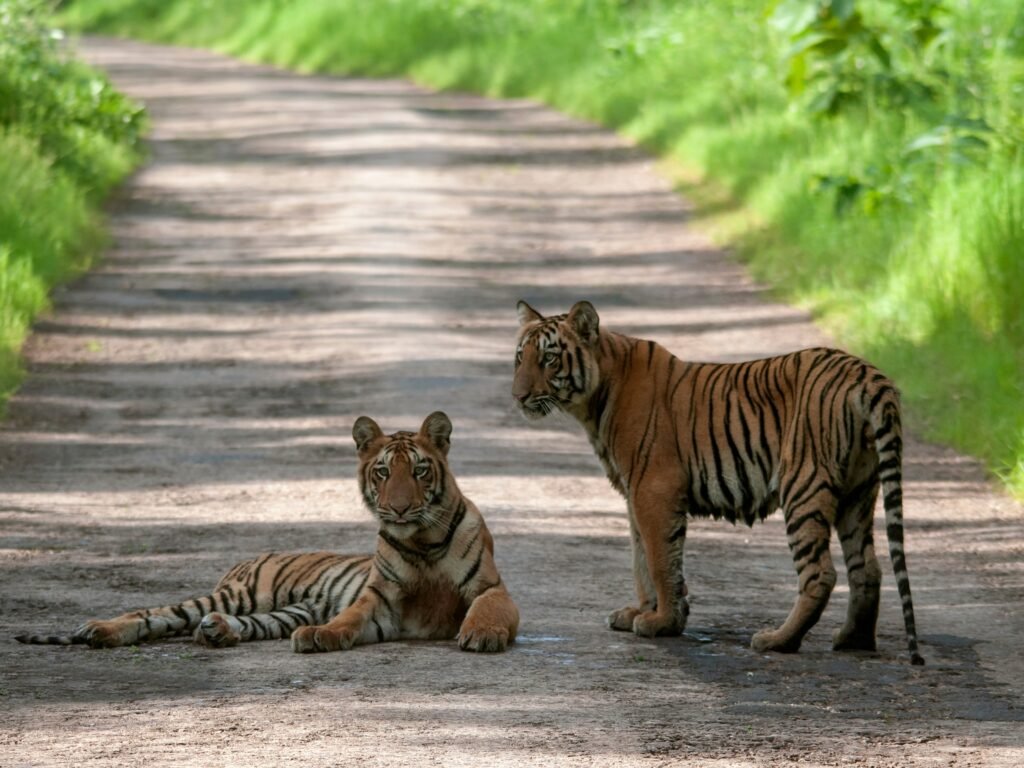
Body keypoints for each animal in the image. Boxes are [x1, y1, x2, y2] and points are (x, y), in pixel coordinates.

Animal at [15, 411, 519, 654]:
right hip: (239, 593)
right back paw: (100, 629)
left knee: (221, 623)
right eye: (382, 472)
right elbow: (349, 618)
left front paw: (482, 635)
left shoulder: (492, 587)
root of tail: (246, 558)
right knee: (153, 613)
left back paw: (216, 632)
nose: (398, 507)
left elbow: (487, 608)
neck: (422, 542)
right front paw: (324, 635)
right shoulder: (380, 600)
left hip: (280, 610)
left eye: (418, 470)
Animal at [512, 300, 924, 665]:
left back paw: (778, 640)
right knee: (867, 568)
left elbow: (659, 560)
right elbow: (641, 558)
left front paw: (661, 622)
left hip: (804, 486)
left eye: (549, 358)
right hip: (858, 493)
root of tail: (867, 375)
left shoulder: (653, 490)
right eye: (520, 357)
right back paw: (853, 639)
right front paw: (643, 613)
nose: (518, 396)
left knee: (821, 573)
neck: (594, 400)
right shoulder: (634, 495)